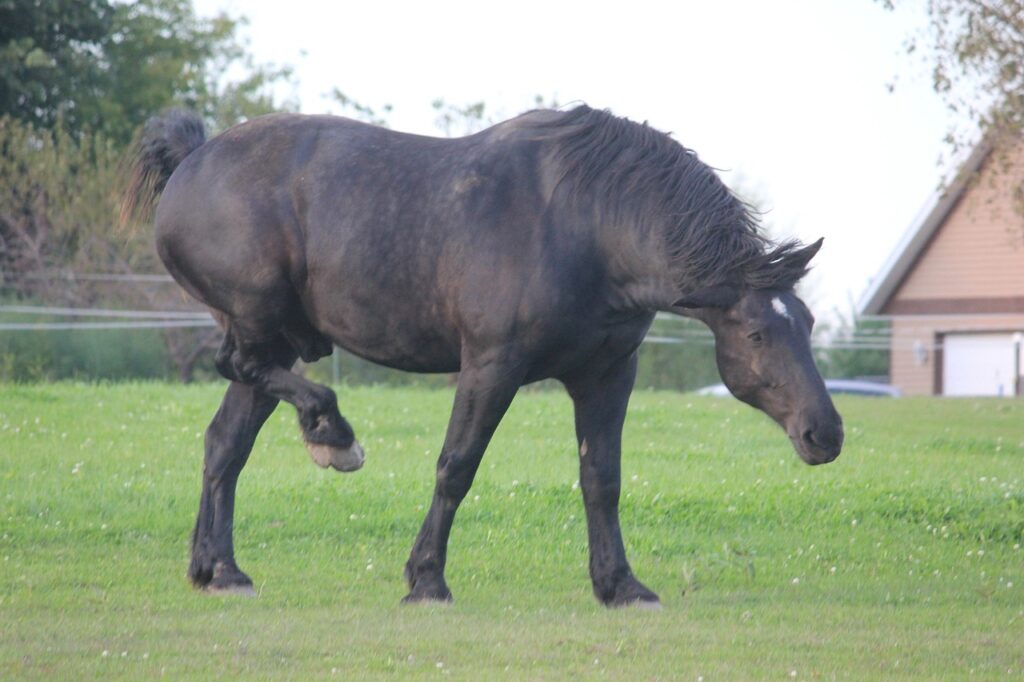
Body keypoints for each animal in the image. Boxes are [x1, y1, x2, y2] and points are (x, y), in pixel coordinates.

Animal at [122, 104, 843, 607]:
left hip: (277, 338)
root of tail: (192, 160)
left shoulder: (607, 374)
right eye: (757, 334)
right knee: (243, 373)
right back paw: (333, 436)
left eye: (807, 323)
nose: (825, 433)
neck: (585, 224)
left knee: (225, 445)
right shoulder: (492, 367)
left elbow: (602, 480)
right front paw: (425, 580)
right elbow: (456, 467)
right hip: (262, 324)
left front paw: (620, 586)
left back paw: (219, 571)